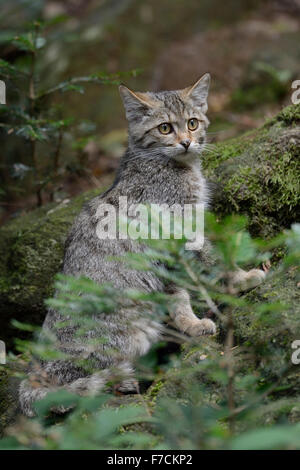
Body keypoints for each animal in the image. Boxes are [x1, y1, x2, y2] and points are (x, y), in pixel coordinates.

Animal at [19, 72, 264, 414]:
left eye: (192, 123)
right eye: (164, 128)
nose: (186, 142)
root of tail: (32, 374)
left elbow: (178, 294)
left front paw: (191, 324)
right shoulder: (180, 233)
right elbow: (212, 264)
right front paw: (243, 279)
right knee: (75, 391)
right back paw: (122, 382)